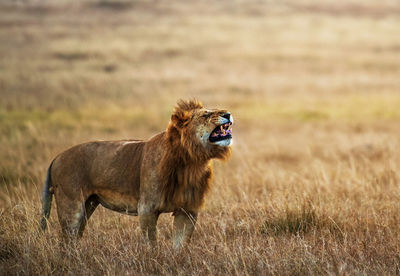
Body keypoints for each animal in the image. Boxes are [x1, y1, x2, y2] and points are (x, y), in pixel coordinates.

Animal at [39, 99, 233, 250]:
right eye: (206, 115)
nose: (229, 114)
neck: (191, 162)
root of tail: (57, 157)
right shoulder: (146, 208)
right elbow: (151, 244)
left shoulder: (188, 210)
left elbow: (181, 246)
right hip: (71, 206)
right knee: (66, 241)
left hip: (89, 205)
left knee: (73, 240)